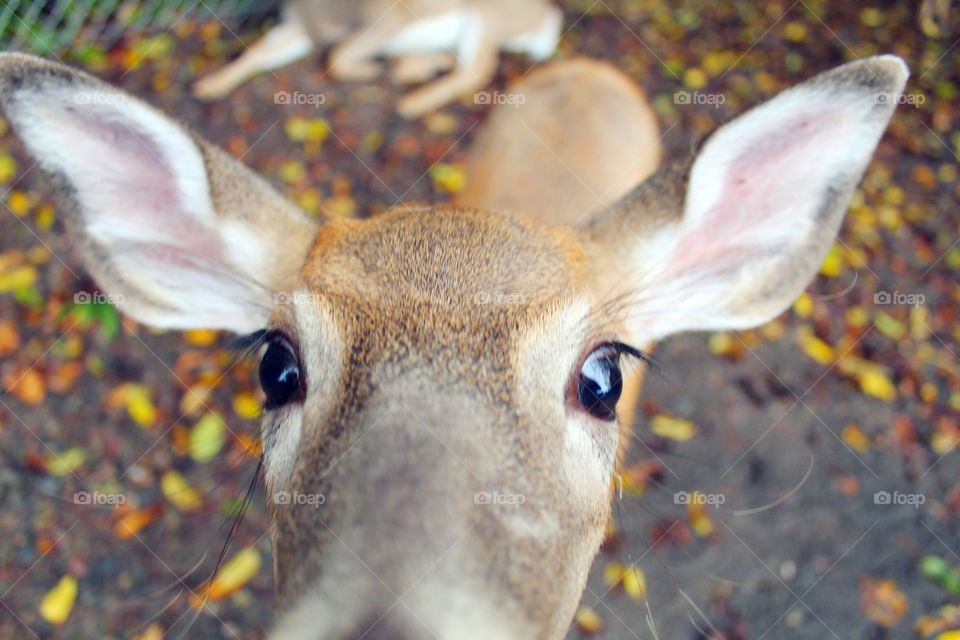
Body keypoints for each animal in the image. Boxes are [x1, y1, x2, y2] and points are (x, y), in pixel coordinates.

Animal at [191, 0, 564, 119]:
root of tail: (545, 20)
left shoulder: (387, 20)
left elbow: (337, 58)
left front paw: (369, 70)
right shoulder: (297, 27)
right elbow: (256, 54)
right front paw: (208, 87)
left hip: (485, 16)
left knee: (478, 69)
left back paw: (410, 103)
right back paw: (414, 69)